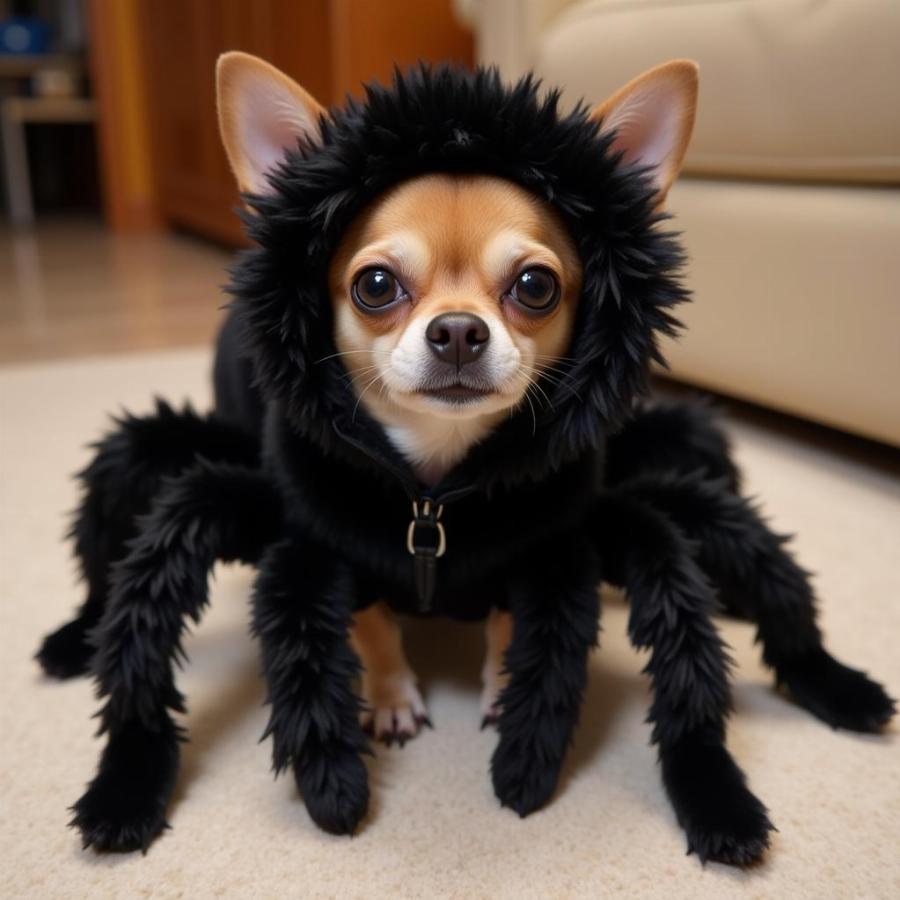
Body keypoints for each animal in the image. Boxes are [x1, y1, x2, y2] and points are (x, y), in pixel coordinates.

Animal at [37, 51, 892, 864]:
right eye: (376, 285)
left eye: (536, 285)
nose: (456, 331)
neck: (434, 490)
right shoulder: (336, 549)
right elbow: (371, 628)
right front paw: (389, 700)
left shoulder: (539, 551)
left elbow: (524, 627)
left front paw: (502, 694)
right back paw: (75, 638)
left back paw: (836, 683)